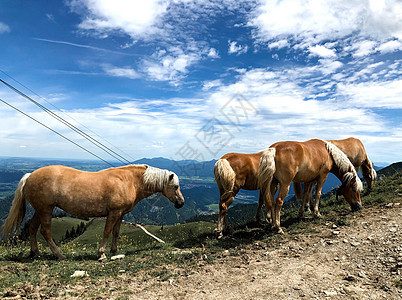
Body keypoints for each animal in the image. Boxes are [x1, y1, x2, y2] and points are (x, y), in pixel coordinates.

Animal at [0, 164, 184, 260]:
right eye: (175, 186)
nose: (181, 203)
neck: (128, 180)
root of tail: (30, 175)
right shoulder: (113, 212)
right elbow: (107, 231)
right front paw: (101, 254)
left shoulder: (120, 214)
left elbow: (116, 233)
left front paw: (114, 251)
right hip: (46, 210)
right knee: (45, 231)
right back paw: (59, 255)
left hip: (40, 210)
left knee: (32, 228)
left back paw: (36, 253)